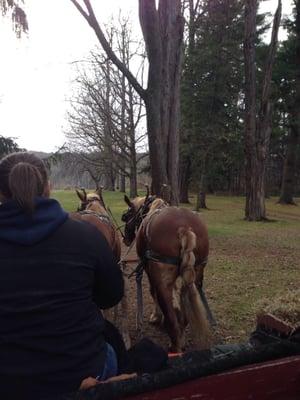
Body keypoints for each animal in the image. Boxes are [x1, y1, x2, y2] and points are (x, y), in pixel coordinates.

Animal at [121, 192, 211, 352]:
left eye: (128, 214)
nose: (126, 238)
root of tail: (184, 228)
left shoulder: (149, 270)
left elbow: (153, 292)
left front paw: (156, 317)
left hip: (162, 280)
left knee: (171, 320)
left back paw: (175, 345)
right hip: (195, 274)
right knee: (184, 312)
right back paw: (181, 337)